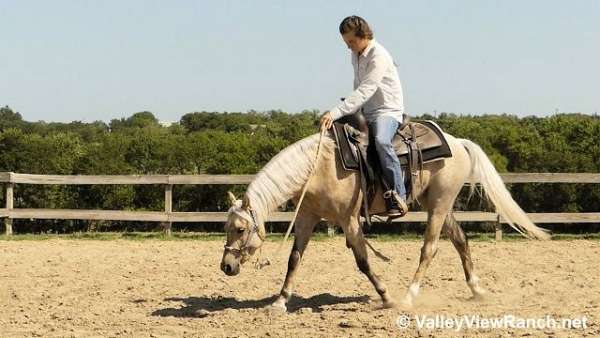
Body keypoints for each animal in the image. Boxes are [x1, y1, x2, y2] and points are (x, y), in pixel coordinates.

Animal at [219, 129, 548, 312]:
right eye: (226, 227)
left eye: (240, 228)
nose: (226, 266)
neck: (317, 169)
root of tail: (457, 142)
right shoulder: (306, 218)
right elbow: (294, 260)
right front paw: (279, 301)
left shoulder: (349, 220)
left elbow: (363, 261)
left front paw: (386, 296)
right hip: (437, 203)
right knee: (460, 241)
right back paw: (477, 290)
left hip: (439, 205)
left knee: (429, 249)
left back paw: (409, 296)